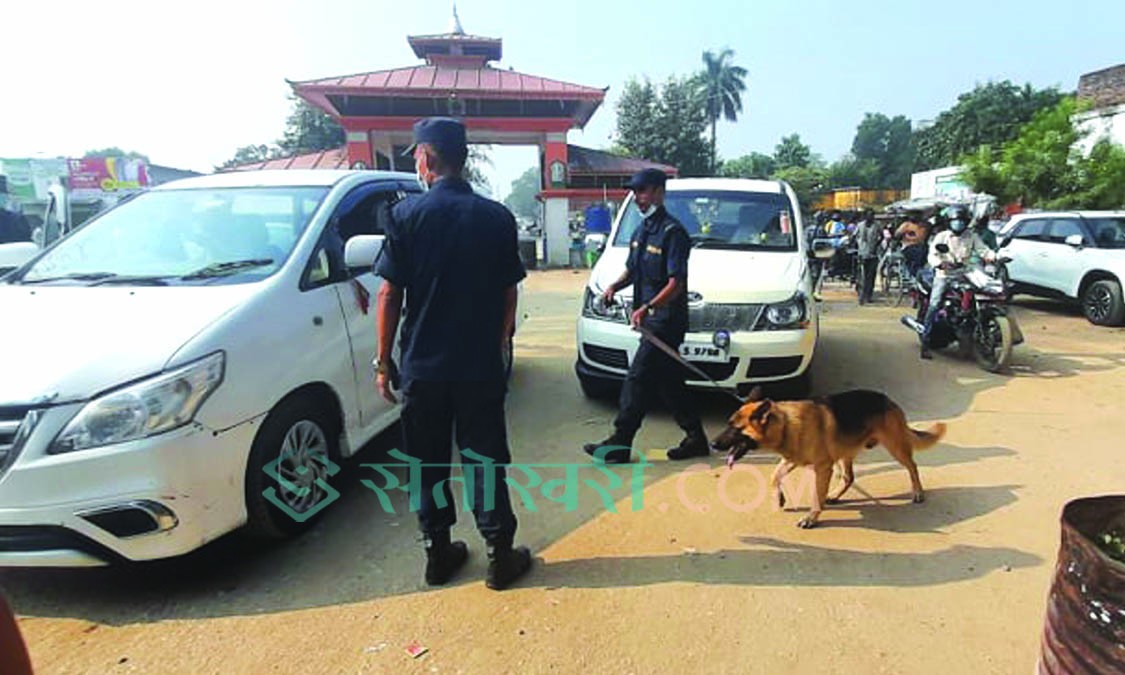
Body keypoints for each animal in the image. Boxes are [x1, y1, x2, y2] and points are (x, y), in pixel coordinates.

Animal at [711, 389, 949, 526]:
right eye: (728, 424)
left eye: (735, 429)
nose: (712, 444)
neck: (786, 425)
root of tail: (888, 400)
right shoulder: (792, 459)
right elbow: (774, 476)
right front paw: (779, 497)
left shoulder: (823, 468)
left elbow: (816, 496)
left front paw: (811, 518)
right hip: (845, 453)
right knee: (849, 477)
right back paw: (834, 495)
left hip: (895, 447)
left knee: (912, 466)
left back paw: (918, 492)